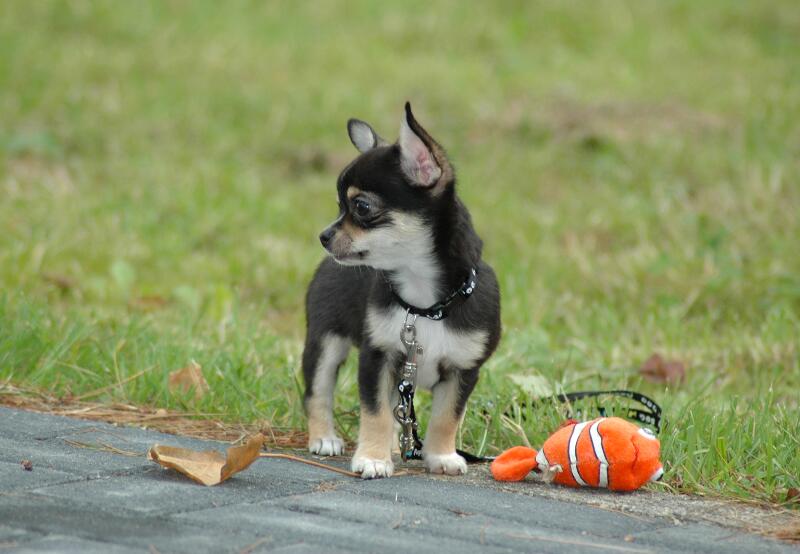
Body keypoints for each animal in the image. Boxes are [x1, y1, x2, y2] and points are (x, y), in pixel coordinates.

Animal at [302, 105, 500, 476]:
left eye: (361, 207)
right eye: (339, 205)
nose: (323, 236)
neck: (425, 306)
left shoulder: (463, 370)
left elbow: (446, 418)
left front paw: (441, 456)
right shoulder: (378, 357)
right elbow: (376, 412)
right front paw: (371, 458)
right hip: (325, 341)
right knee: (317, 391)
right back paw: (324, 438)